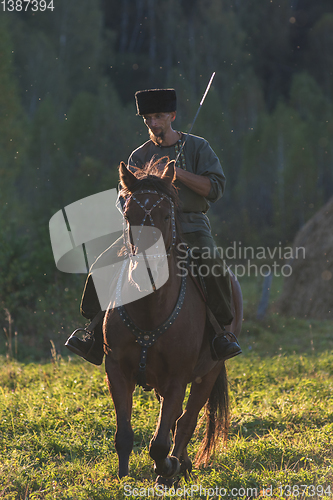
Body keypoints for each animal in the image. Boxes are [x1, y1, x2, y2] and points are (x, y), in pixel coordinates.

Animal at [103, 159, 241, 480]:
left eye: (167, 215)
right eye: (128, 215)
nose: (145, 270)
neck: (150, 309)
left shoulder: (177, 378)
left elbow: (161, 442)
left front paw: (167, 467)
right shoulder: (116, 370)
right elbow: (124, 434)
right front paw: (123, 475)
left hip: (209, 373)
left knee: (186, 420)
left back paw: (178, 465)